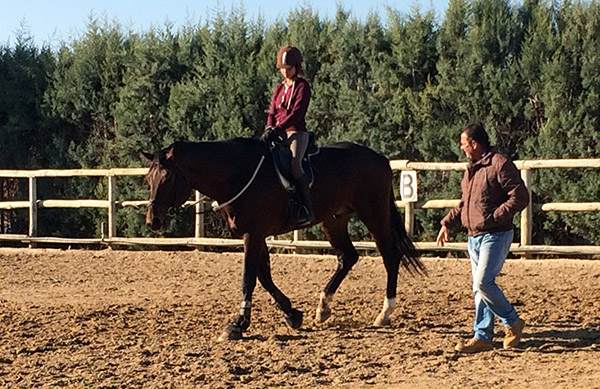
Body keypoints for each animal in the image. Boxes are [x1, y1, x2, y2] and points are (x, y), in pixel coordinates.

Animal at [141, 136, 424, 340]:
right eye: (148, 178)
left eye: (166, 177)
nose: (152, 221)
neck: (238, 174)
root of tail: (379, 158)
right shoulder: (257, 235)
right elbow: (264, 276)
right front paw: (292, 314)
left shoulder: (253, 234)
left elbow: (249, 278)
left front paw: (238, 324)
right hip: (334, 220)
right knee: (348, 257)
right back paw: (323, 308)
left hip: (374, 214)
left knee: (390, 256)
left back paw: (384, 313)